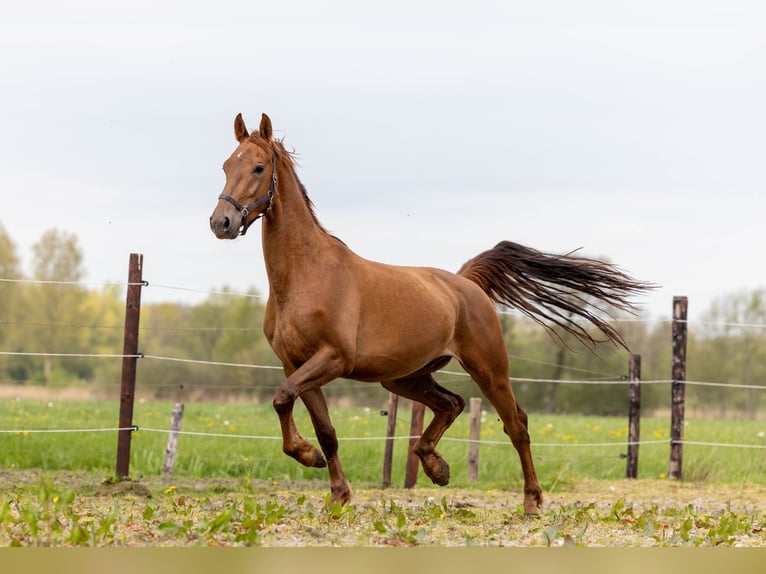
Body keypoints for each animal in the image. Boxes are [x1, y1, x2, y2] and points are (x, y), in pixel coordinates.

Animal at [208, 113, 648, 516]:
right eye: (227, 165)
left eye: (258, 167)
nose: (221, 222)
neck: (307, 276)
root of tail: (466, 283)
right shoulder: (296, 364)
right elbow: (323, 428)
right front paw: (336, 492)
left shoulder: (333, 359)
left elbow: (283, 398)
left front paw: (308, 457)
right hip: (404, 377)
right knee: (451, 403)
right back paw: (436, 466)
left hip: (488, 368)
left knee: (516, 425)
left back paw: (531, 501)